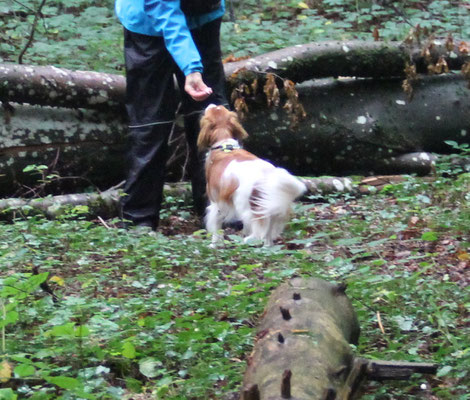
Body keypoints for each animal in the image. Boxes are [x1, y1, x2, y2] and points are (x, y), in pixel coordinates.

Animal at [196, 104, 306, 245]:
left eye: (213, 109)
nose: (211, 104)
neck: (225, 144)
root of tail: (267, 174)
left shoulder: (216, 202)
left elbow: (216, 226)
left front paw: (214, 244)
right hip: (269, 204)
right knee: (267, 231)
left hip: (243, 204)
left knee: (258, 230)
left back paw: (248, 240)